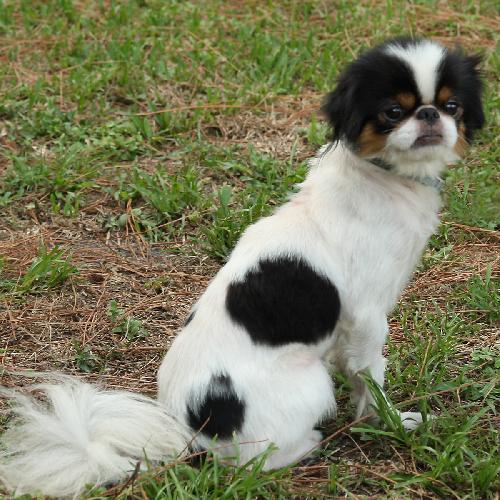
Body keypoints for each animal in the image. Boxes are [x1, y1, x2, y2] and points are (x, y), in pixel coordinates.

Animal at [0, 37, 484, 498]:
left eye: (452, 106)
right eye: (392, 112)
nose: (429, 115)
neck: (382, 177)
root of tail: (192, 436)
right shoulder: (367, 316)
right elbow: (371, 377)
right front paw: (388, 421)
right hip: (311, 383)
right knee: (258, 460)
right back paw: (307, 445)